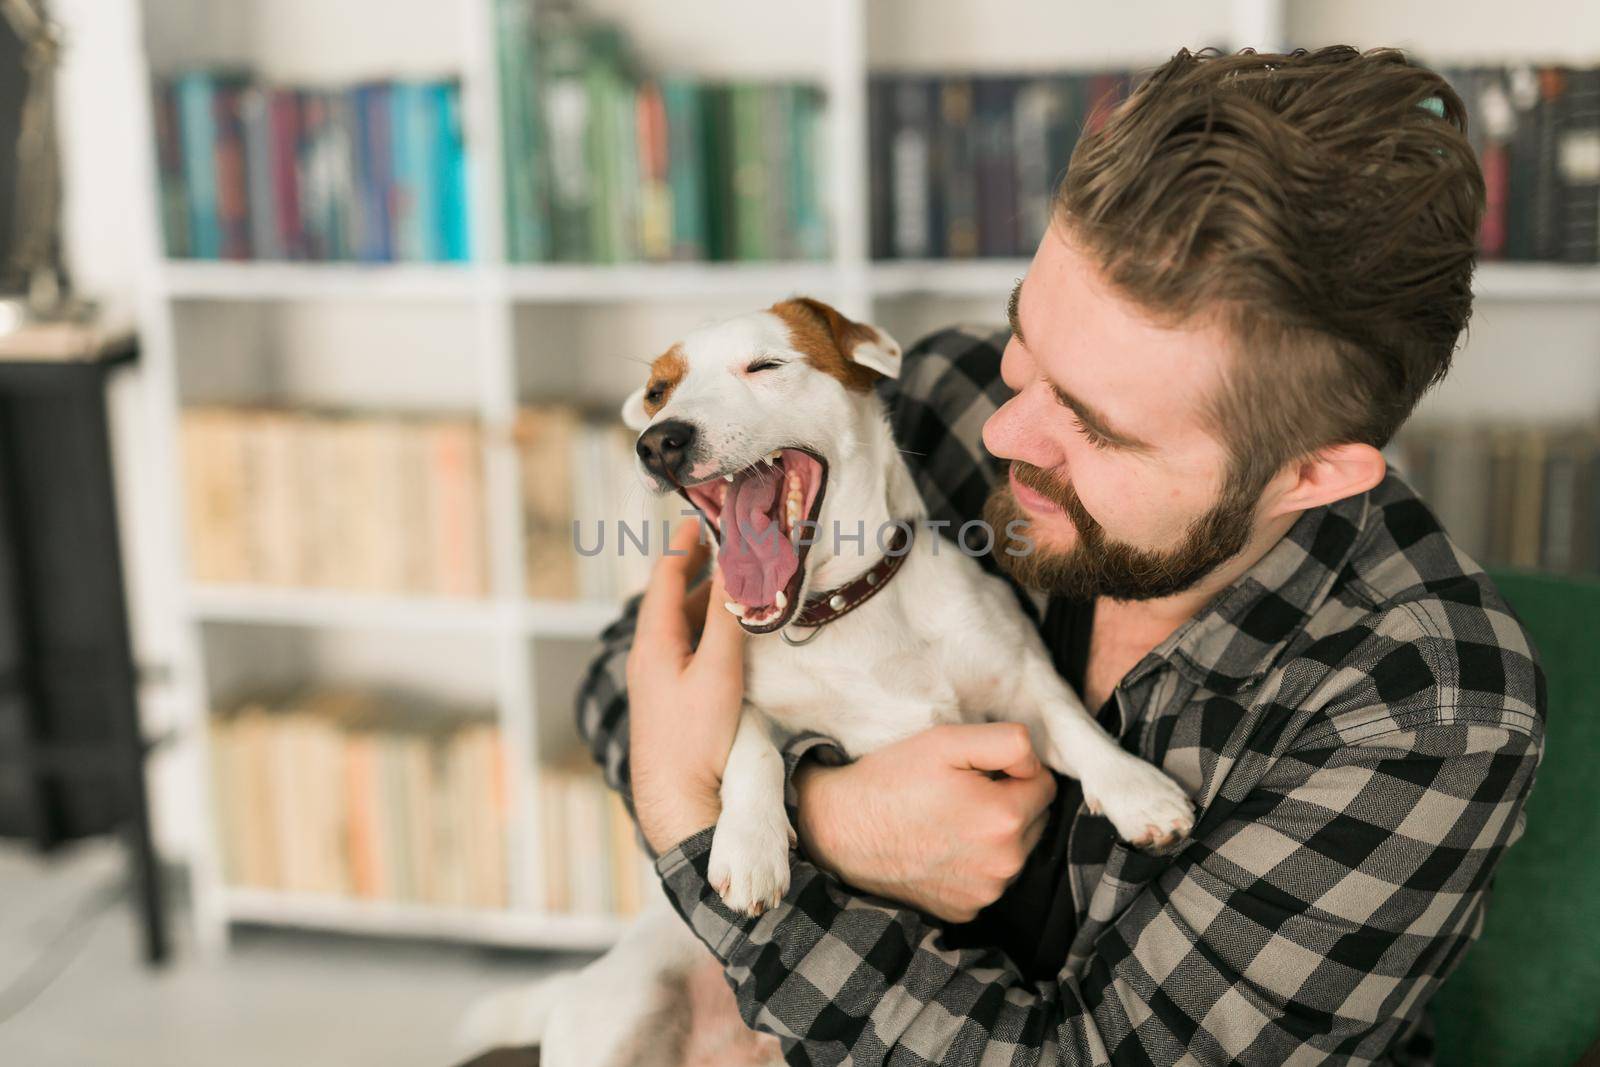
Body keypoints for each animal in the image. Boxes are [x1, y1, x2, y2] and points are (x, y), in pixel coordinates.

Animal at [460, 299, 1190, 1067]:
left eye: (765, 365)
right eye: (658, 392)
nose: (659, 442)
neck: (842, 610)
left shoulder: (1018, 677)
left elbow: (1073, 720)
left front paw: (1135, 788)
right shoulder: (738, 689)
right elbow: (750, 744)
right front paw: (750, 844)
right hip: (621, 1012)